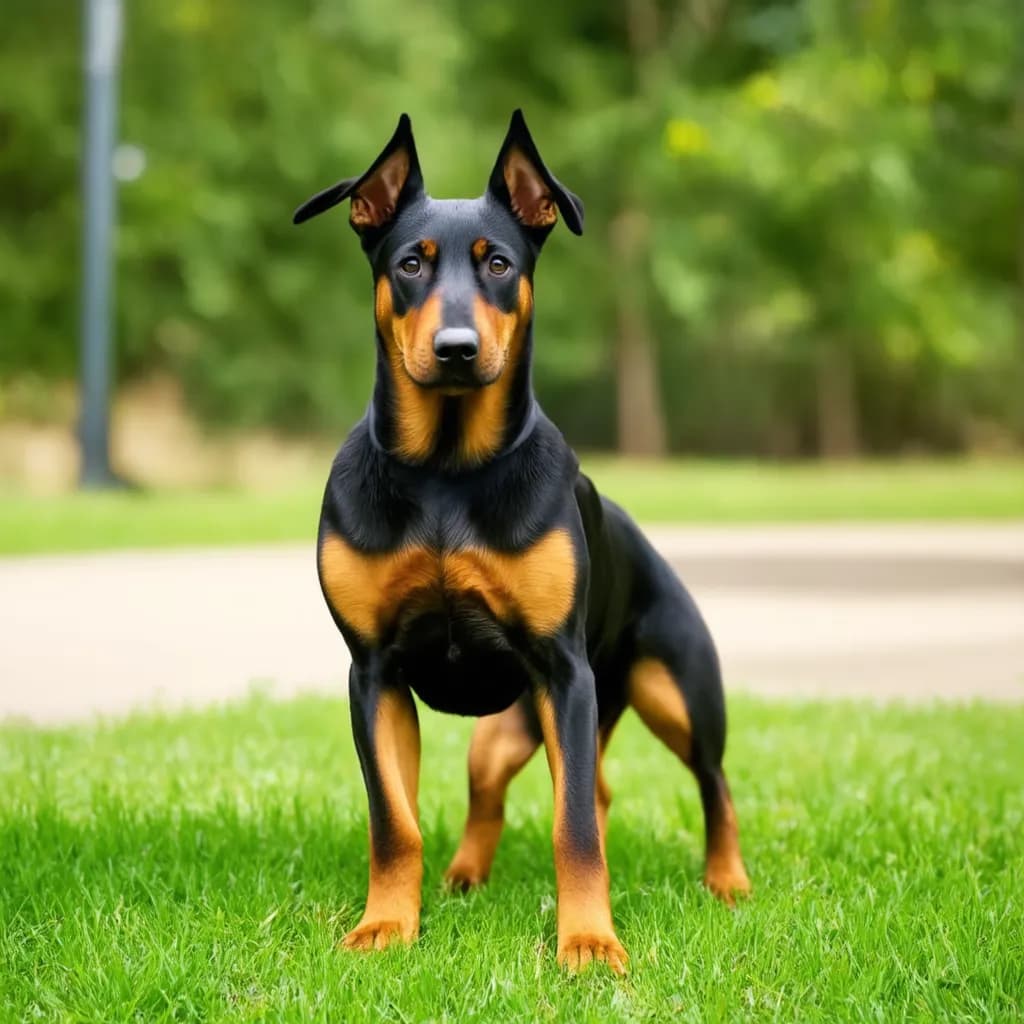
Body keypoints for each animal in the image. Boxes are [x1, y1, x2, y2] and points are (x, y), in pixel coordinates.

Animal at [296, 112, 753, 974]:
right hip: (505, 732)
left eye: (500, 263)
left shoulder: (563, 671)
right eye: (410, 263)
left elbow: (572, 827)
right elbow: (394, 820)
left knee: (709, 783)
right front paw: (387, 925)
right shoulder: (374, 674)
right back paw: (464, 876)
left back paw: (729, 880)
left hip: (671, 691)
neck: (447, 472)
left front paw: (590, 942)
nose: (456, 348)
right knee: (510, 791)